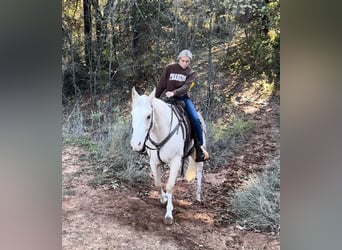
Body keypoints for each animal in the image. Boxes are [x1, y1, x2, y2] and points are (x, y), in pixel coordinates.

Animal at [130, 87, 206, 225]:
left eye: (148, 116)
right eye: (132, 115)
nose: (136, 145)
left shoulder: (175, 162)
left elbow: (170, 186)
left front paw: (169, 214)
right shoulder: (154, 162)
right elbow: (157, 183)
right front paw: (163, 199)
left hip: (198, 156)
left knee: (199, 173)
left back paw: (197, 197)